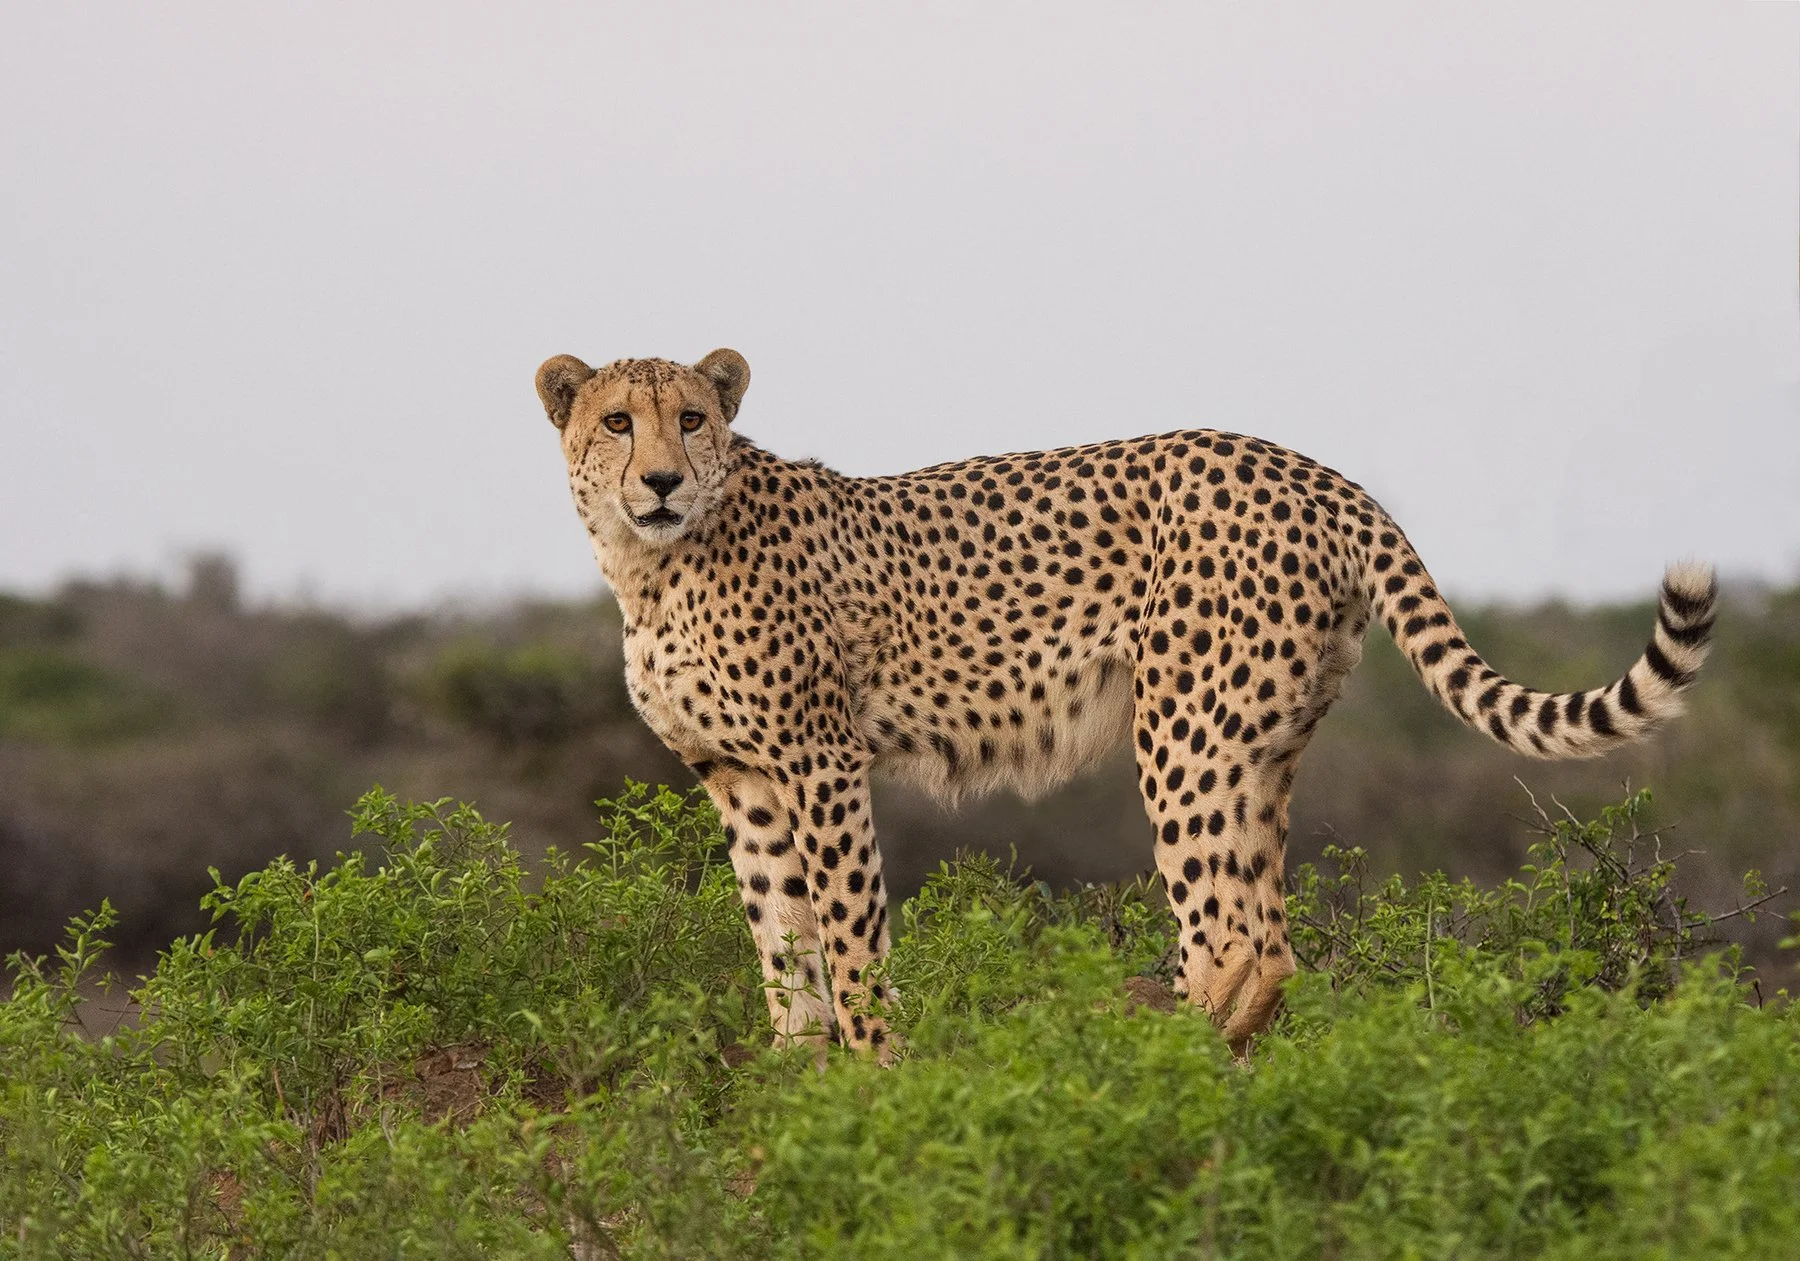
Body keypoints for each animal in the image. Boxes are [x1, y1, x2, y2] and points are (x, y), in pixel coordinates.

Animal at [534, 347, 1716, 1058]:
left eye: (692, 418)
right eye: (617, 421)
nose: (659, 480)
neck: (652, 564)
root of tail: (1312, 469)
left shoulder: (821, 757)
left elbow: (849, 923)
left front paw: (876, 1060)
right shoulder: (737, 773)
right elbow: (778, 930)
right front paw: (795, 1062)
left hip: (1184, 726)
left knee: (1235, 933)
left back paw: (1131, 1049)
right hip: (1262, 739)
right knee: (1267, 929)